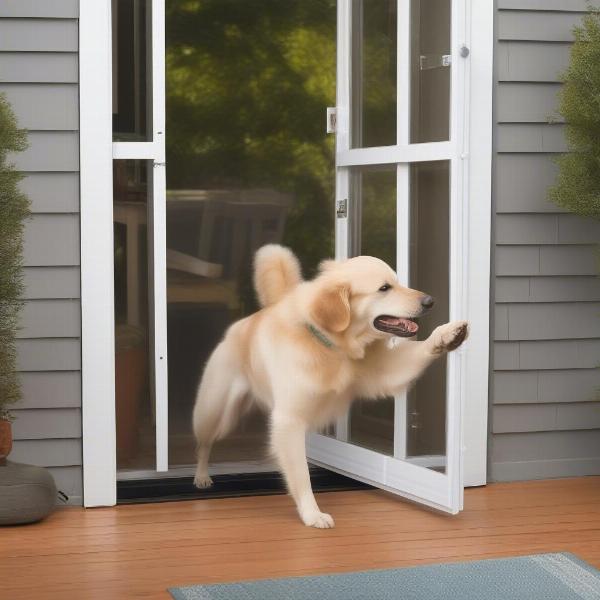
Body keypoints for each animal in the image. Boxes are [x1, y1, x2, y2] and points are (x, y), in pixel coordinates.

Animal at [192, 241, 468, 528]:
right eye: (384, 288)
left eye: (397, 282)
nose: (430, 301)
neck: (332, 346)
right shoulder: (289, 421)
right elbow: (301, 474)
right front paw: (311, 514)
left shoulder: (385, 370)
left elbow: (420, 350)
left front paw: (447, 334)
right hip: (215, 413)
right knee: (203, 444)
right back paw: (201, 476)